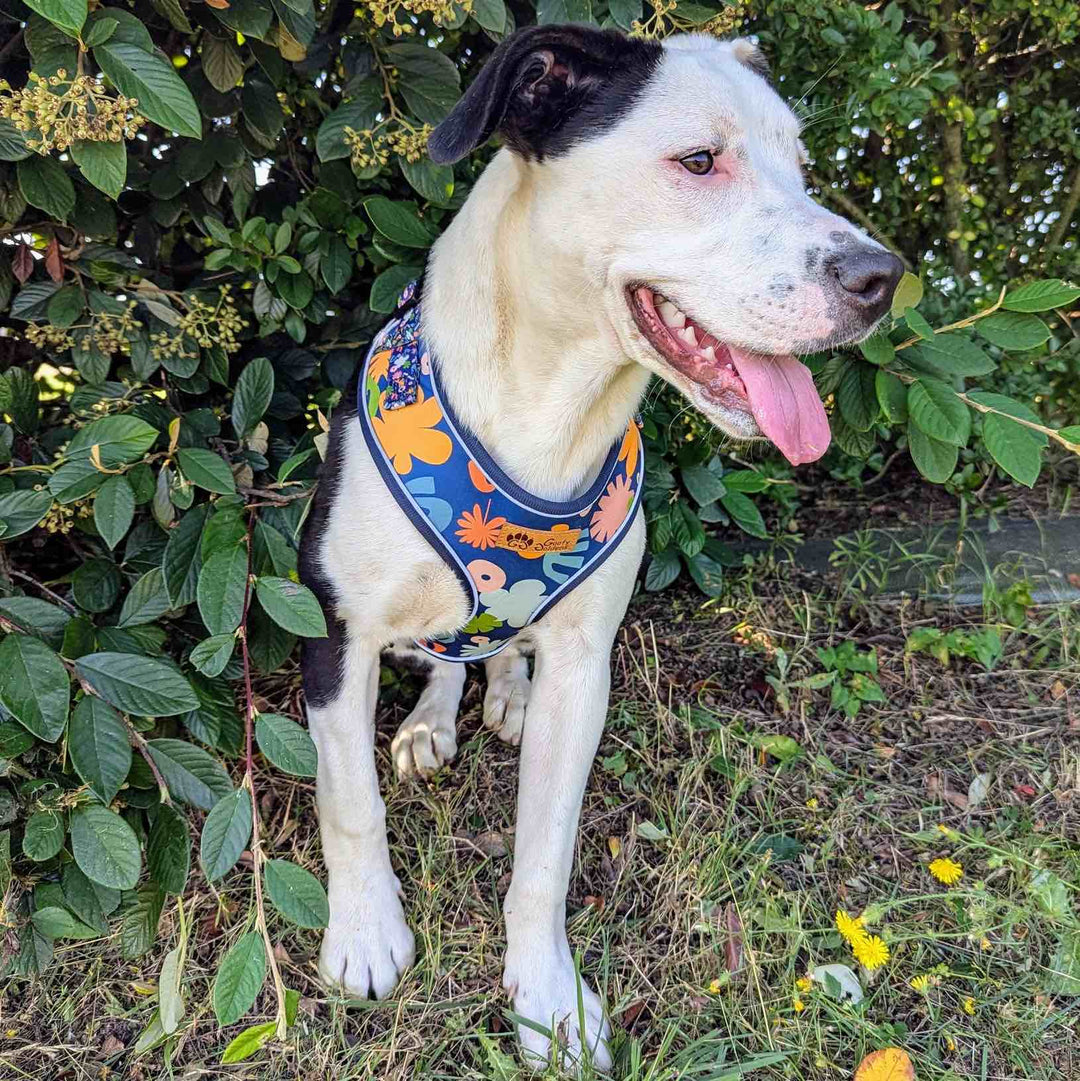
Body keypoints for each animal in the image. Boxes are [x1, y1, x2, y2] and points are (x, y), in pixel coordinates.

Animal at [298, 21, 903, 1068]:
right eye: (698, 161)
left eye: (801, 167)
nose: (882, 279)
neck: (550, 410)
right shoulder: (335, 635)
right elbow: (352, 807)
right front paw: (367, 936)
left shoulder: (585, 666)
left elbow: (545, 850)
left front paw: (547, 1000)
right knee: (441, 656)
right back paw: (429, 722)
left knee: (493, 652)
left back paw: (499, 692)